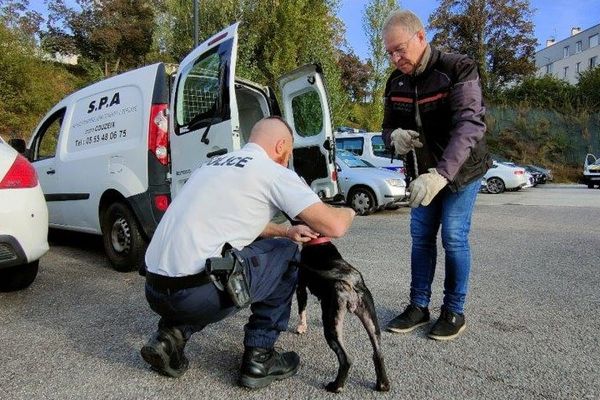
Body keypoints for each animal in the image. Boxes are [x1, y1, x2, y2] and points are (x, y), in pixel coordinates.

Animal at [294, 239, 390, 392]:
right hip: (371, 323)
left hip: (331, 330)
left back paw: (336, 386)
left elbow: (301, 310)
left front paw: (301, 327)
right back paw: (383, 384)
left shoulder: (301, 288)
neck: (319, 241)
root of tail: (350, 281)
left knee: (346, 360)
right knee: (378, 354)